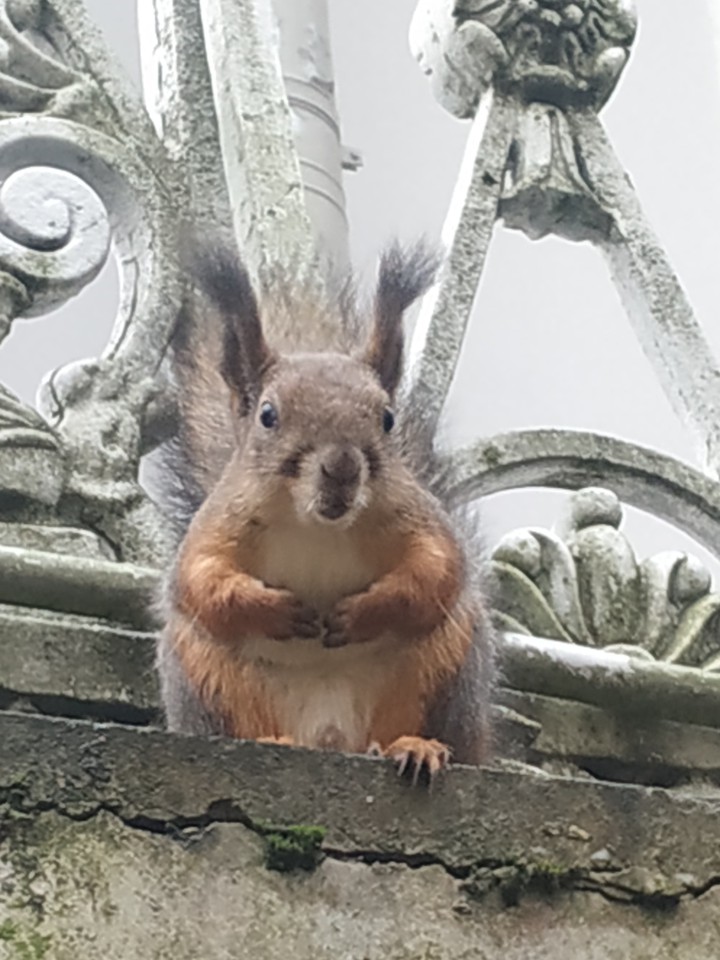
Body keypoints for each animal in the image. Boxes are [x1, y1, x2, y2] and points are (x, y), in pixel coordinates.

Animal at [154, 240, 495, 782]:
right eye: (268, 415)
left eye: (387, 418)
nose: (342, 468)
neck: (314, 524)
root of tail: (330, 737)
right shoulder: (217, 526)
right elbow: (201, 581)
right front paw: (272, 608)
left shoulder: (416, 518)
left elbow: (435, 571)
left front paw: (363, 612)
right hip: (209, 673)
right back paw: (271, 739)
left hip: (446, 663)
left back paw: (414, 747)